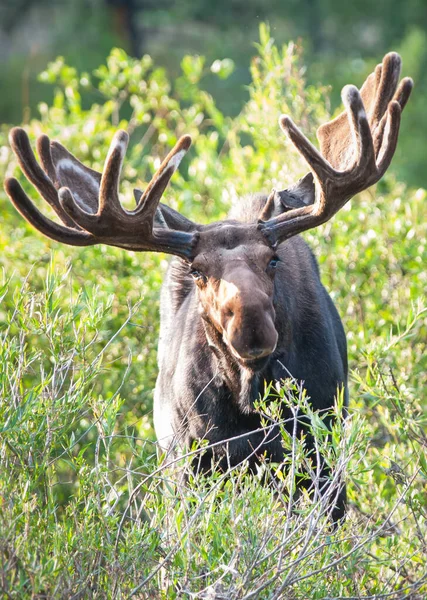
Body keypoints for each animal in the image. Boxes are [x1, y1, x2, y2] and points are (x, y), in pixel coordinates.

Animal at [2, 51, 412, 520]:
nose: (251, 328)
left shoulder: (320, 450)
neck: (249, 399)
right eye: (197, 270)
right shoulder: (191, 460)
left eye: (272, 260)